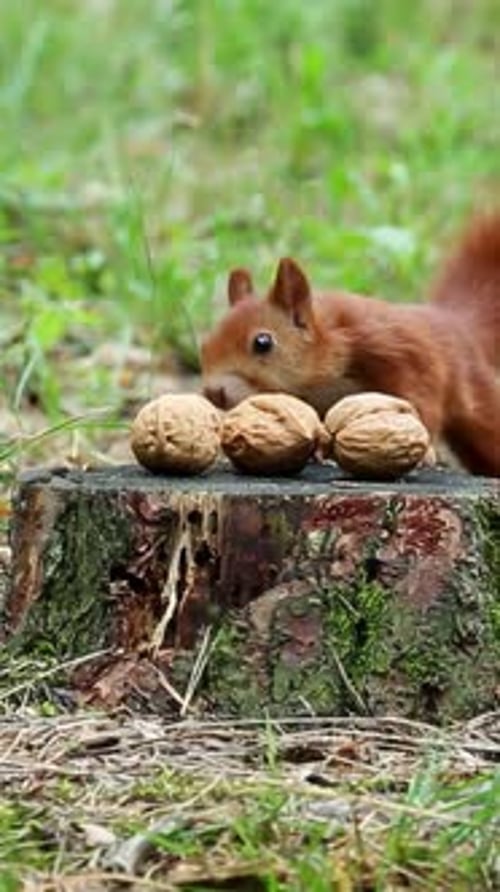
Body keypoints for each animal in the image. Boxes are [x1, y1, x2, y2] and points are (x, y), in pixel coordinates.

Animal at [201, 213, 500, 476]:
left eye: (263, 343)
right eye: (204, 345)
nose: (214, 393)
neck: (317, 383)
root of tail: (456, 321)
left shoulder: (398, 352)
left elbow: (421, 400)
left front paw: (424, 452)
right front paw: (318, 452)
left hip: (476, 395)